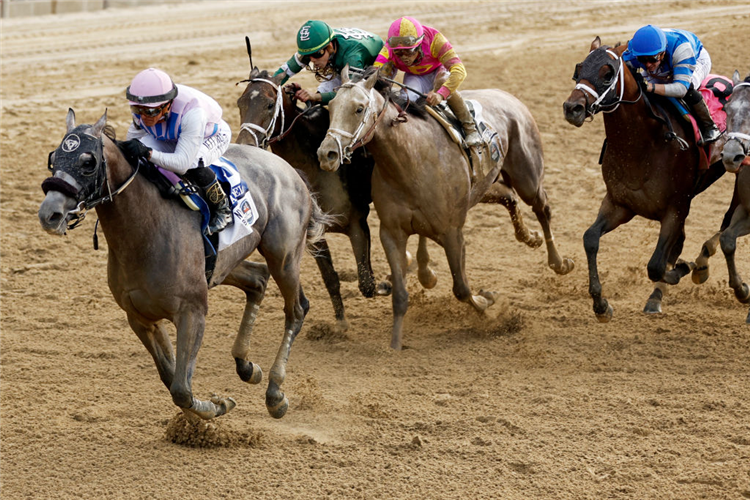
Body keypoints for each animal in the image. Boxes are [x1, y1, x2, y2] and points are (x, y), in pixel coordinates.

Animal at [38, 110, 326, 422]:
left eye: (88, 162)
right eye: (54, 158)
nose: (49, 214)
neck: (144, 231)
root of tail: (288, 168)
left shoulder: (192, 312)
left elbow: (181, 389)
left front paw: (218, 405)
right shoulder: (140, 318)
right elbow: (170, 376)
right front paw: (205, 413)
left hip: (283, 256)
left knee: (296, 308)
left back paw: (275, 393)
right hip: (222, 266)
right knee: (258, 279)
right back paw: (247, 366)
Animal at [236, 67, 382, 332]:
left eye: (270, 104)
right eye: (240, 103)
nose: (245, 144)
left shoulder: (357, 222)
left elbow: (367, 283)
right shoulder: (315, 234)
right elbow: (331, 278)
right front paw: (340, 324)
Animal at [318, 66, 576, 350]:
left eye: (359, 108)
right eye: (331, 107)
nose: (326, 154)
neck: (410, 159)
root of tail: (507, 96)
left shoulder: (453, 232)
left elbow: (461, 288)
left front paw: (488, 305)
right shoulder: (391, 233)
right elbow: (400, 295)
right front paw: (395, 344)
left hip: (527, 176)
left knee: (543, 209)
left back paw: (559, 262)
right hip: (483, 188)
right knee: (508, 196)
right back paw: (529, 237)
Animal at [568, 37, 732, 322]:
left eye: (608, 73)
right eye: (578, 69)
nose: (572, 108)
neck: (641, 145)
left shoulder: (676, 208)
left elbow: (656, 264)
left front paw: (684, 269)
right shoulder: (620, 204)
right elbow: (590, 239)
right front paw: (601, 304)